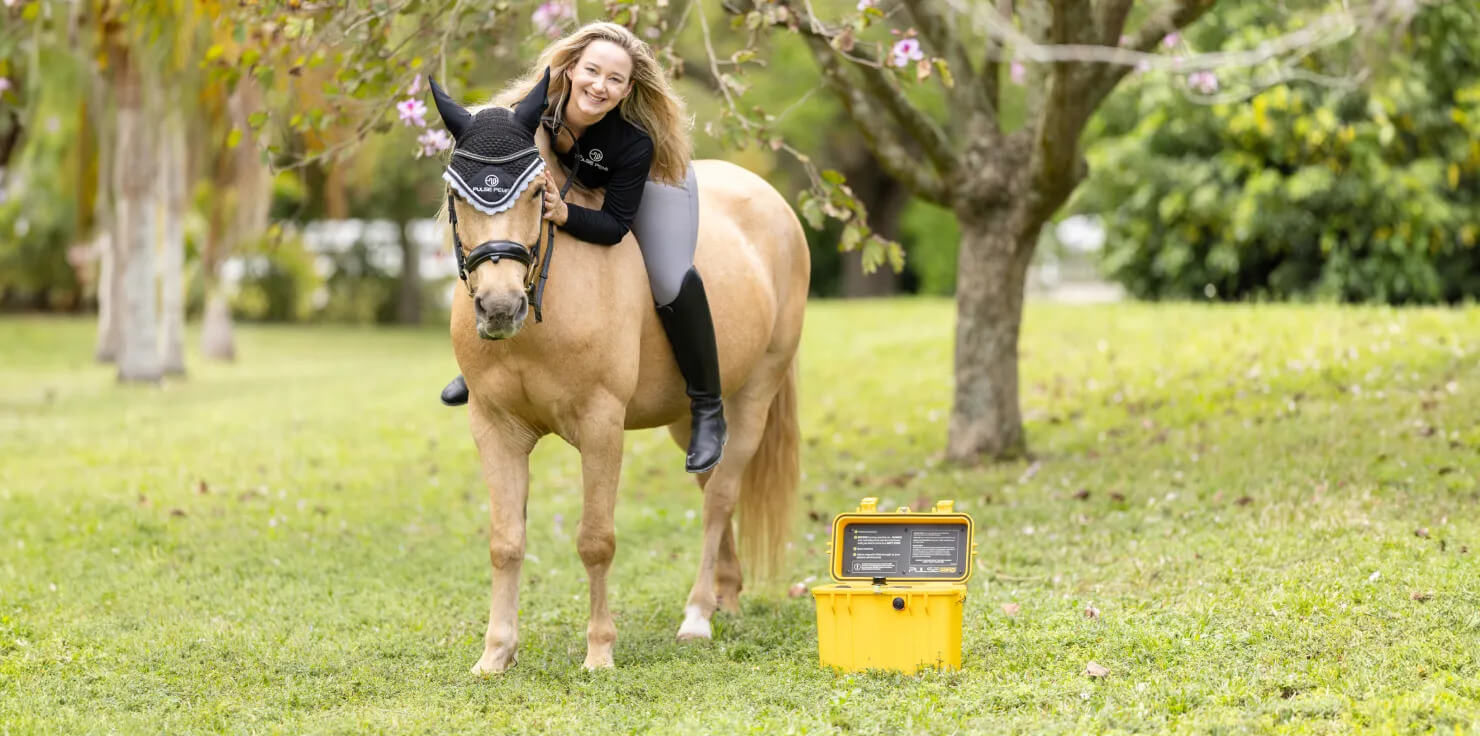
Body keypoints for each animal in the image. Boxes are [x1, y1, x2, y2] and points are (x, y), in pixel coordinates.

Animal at [435, 91, 810, 673]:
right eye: (456, 193)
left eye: (538, 191)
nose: (500, 307)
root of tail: (773, 202)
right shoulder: (494, 427)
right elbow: (505, 541)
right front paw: (495, 655)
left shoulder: (601, 425)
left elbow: (596, 540)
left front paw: (599, 652)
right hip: (689, 420)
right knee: (710, 478)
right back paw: (725, 595)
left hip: (755, 394)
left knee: (720, 498)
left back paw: (697, 616)